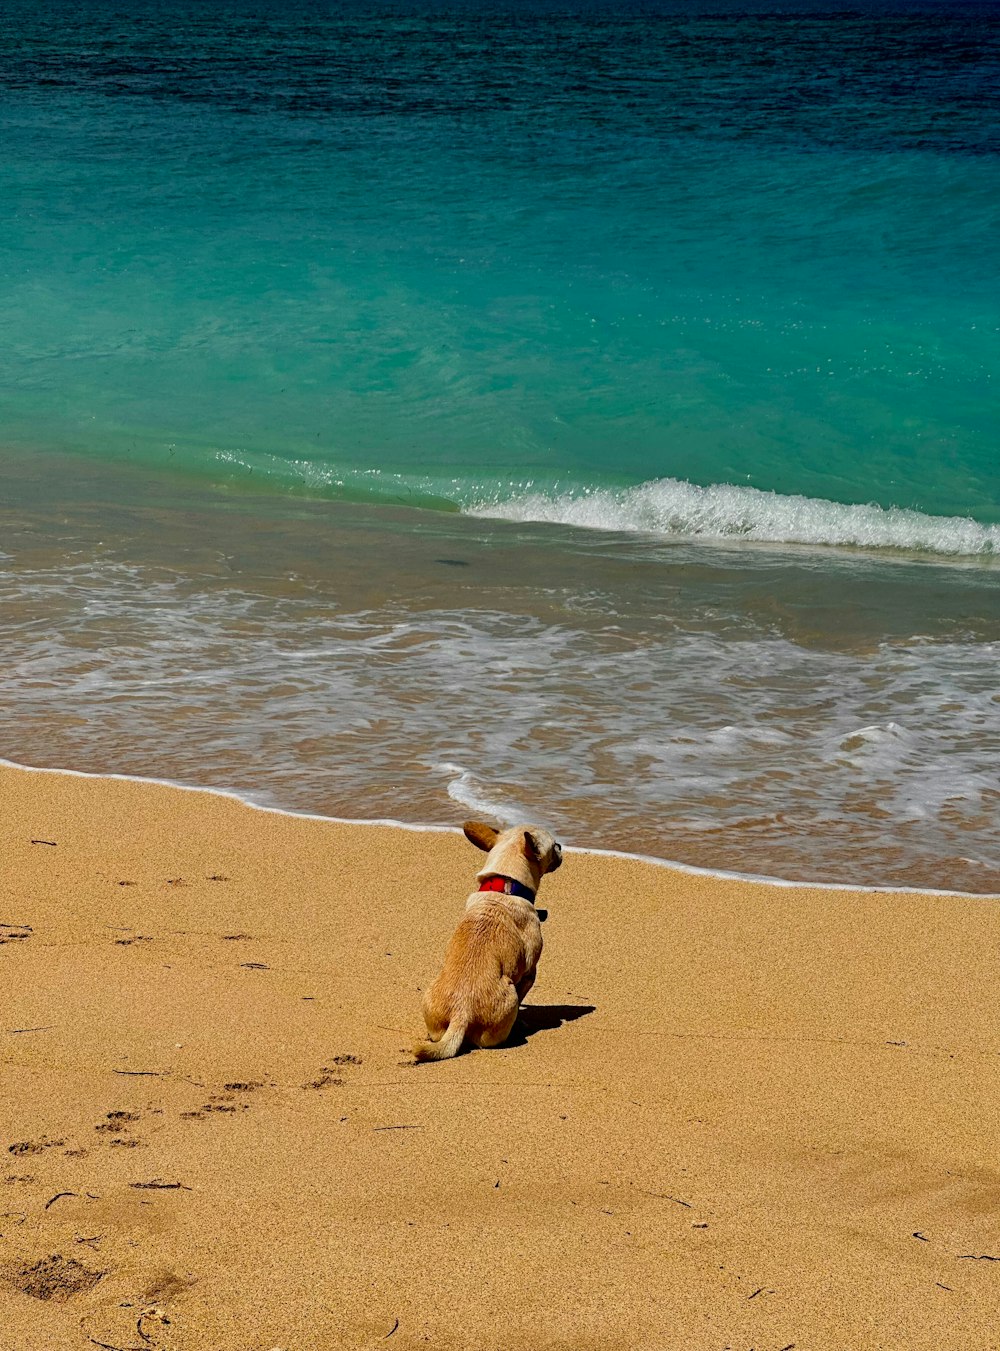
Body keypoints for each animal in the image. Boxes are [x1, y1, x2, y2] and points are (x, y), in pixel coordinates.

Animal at [410, 816, 562, 1059]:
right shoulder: (529, 972)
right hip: (509, 996)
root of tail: (461, 1014)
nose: (562, 847)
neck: (505, 885)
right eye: (554, 845)